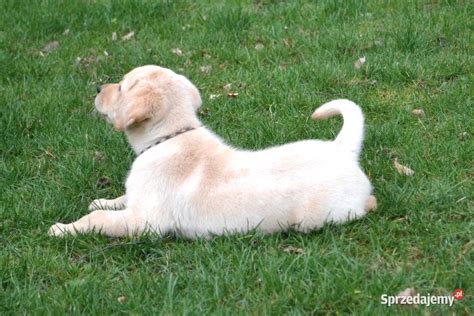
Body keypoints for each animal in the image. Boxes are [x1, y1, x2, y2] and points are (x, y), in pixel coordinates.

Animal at [48, 65, 376, 237]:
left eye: (120, 88)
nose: (97, 88)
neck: (168, 137)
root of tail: (341, 150)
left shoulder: (146, 221)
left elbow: (98, 219)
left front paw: (63, 228)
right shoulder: (139, 199)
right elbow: (120, 199)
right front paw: (102, 199)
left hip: (322, 215)